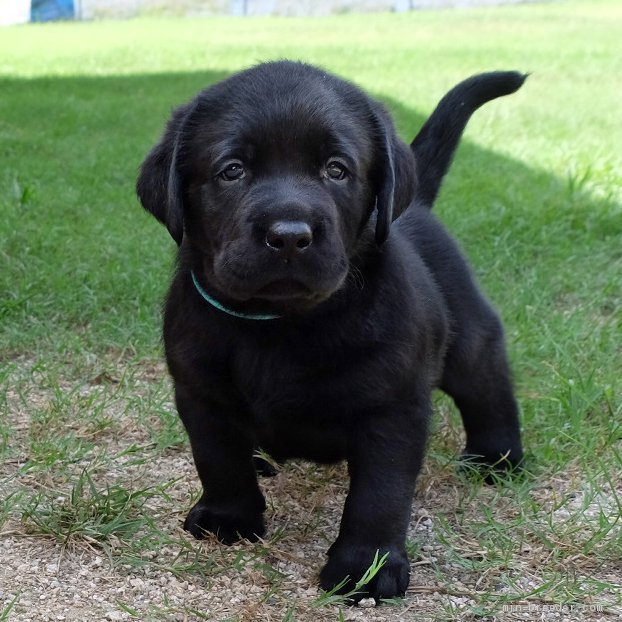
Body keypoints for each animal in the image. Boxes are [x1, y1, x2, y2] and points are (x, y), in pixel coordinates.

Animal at [135, 61, 528, 604]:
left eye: (337, 170)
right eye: (232, 170)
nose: (289, 235)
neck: (281, 323)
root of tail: (418, 203)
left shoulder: (393, 407)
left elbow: (379, 494)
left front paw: (366, 567)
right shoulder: (200, 391)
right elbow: (217, 458)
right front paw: (227, 517)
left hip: (467, 338)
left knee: (486, 383)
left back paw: (496, 458)